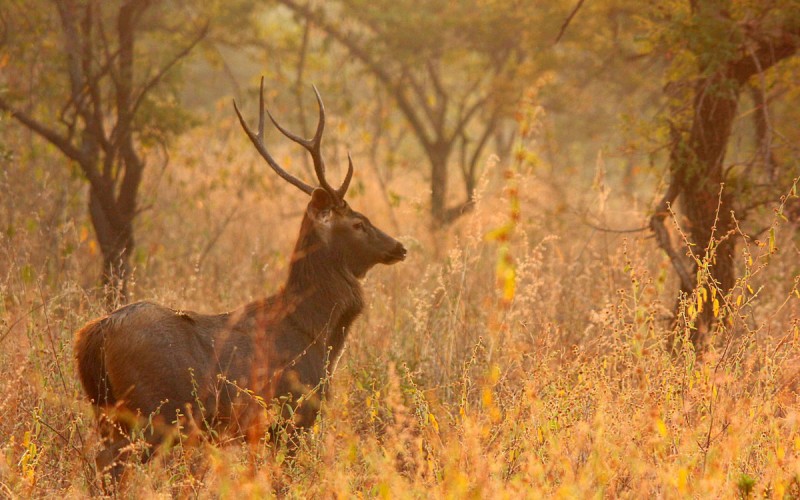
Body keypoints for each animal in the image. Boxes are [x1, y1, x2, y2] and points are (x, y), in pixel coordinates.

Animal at [74, 79, 406, 480]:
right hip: (151, 410)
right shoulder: (293, 413)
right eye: (358, 223)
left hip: (106, 408)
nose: (399, 246)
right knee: (109, 463)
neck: (316, 332)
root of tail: (97, 333)